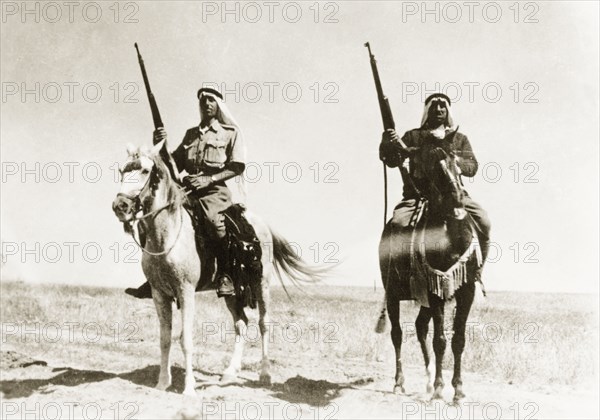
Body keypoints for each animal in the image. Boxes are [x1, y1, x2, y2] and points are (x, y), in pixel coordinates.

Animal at [378, 139, 480, 402]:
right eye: (433, 168)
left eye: (456, 162)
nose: (457, 201)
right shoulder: (437, 289)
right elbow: (440, 340)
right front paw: (439, 388)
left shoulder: (465, 290)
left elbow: (459, 340)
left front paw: (458, 389)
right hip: (393, 293)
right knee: (397, 334)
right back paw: (400, 382)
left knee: (420, 327)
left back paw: (427, 376)